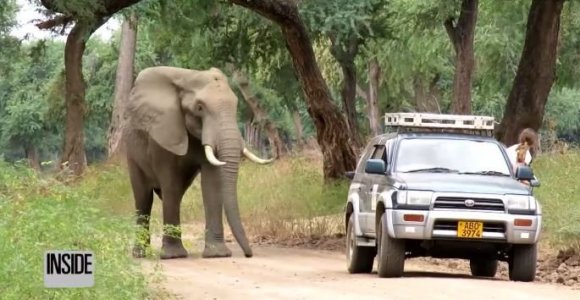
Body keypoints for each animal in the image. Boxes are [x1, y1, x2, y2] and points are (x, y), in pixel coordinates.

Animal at [122, 66, 272, 260]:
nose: (249, 255)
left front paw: (217, 255)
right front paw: (173, 256)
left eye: (236, 106)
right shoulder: (163, 133)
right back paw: (140, 254)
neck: (188, 76)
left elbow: (212, 184)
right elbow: (170, 182)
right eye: (200, 107)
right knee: (143, 199)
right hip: (131, 154)